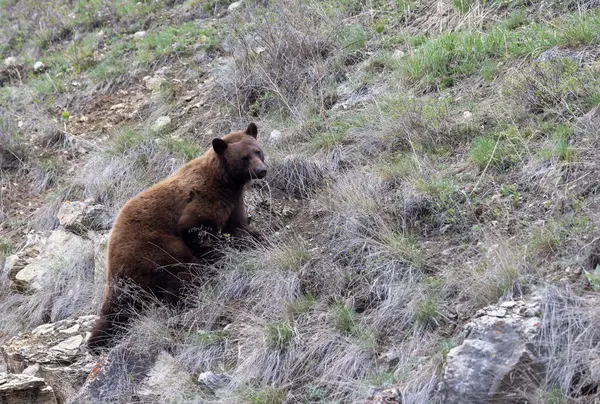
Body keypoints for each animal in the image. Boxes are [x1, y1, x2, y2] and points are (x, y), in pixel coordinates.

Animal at [88, 122, 266, 350]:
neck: (225, 181)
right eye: (244, 157)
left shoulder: (233, 201)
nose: (262, 170)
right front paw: (220, 255)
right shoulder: (202, 199)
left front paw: (255, 239)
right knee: (180, 270)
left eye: (258, 151)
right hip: (152, 249)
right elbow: (196, 229)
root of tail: (112, 266)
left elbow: (237, 227)